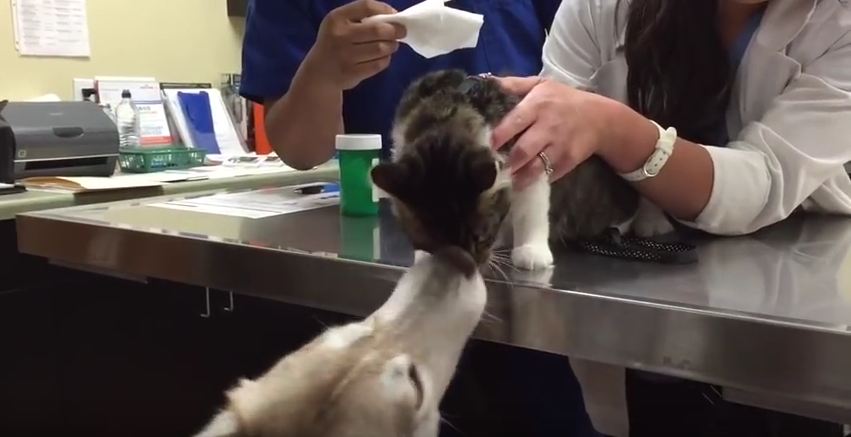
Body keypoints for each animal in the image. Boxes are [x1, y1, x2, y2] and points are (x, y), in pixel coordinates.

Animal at [382, 69, 672, 270]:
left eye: (478, 235)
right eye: (432, 241)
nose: (467, 265)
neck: (443, 114)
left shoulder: (530, 159)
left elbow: (529, 212)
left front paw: (531, 250)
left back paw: (650, 221)